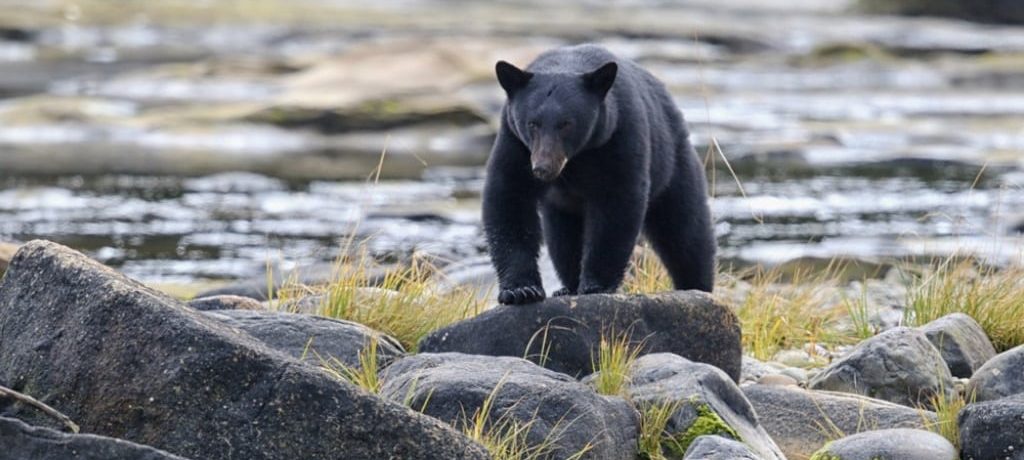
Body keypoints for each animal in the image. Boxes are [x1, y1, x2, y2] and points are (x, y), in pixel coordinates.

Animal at [483, 42, 716, 301]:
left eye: (566, 124)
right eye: (532, 123)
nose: (543, 168)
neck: (577, 159)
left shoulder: (619, 135)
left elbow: (617, 206)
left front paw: (595, 286)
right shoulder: (514, 141)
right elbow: (509, 196)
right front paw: (520, 290)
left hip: (673, 166)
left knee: (686, 231)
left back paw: (697, 286)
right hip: (561, 206)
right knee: (562, 239)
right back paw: (567, 287)